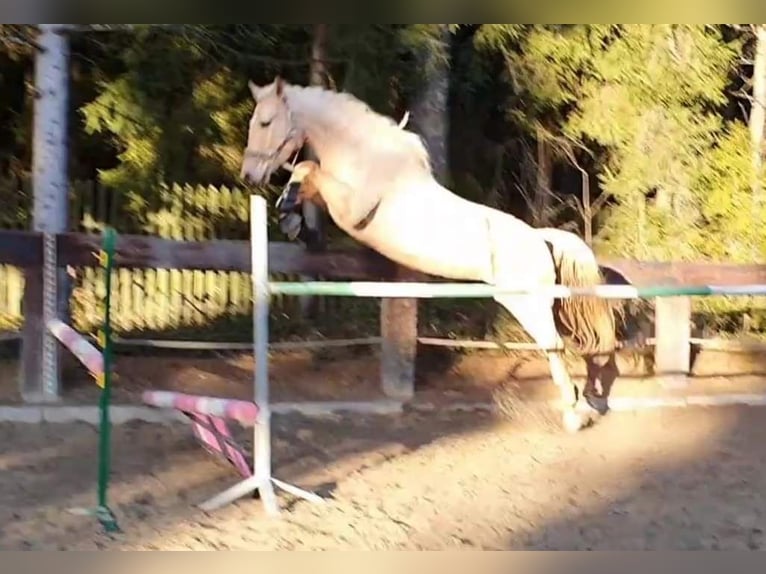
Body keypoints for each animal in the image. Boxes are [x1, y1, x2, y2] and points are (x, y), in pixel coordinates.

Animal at [243, 77, 620, 436]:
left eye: (265, 122)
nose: (249, 177)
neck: (367, 158)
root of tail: (540, 239)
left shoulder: (351, 211)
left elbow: (310, 169)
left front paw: (289, 209)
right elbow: (307, 173)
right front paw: (290, 215)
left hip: (526, 302)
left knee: (555, 346)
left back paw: (574, 416)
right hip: (544, 303)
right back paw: (586, 405)